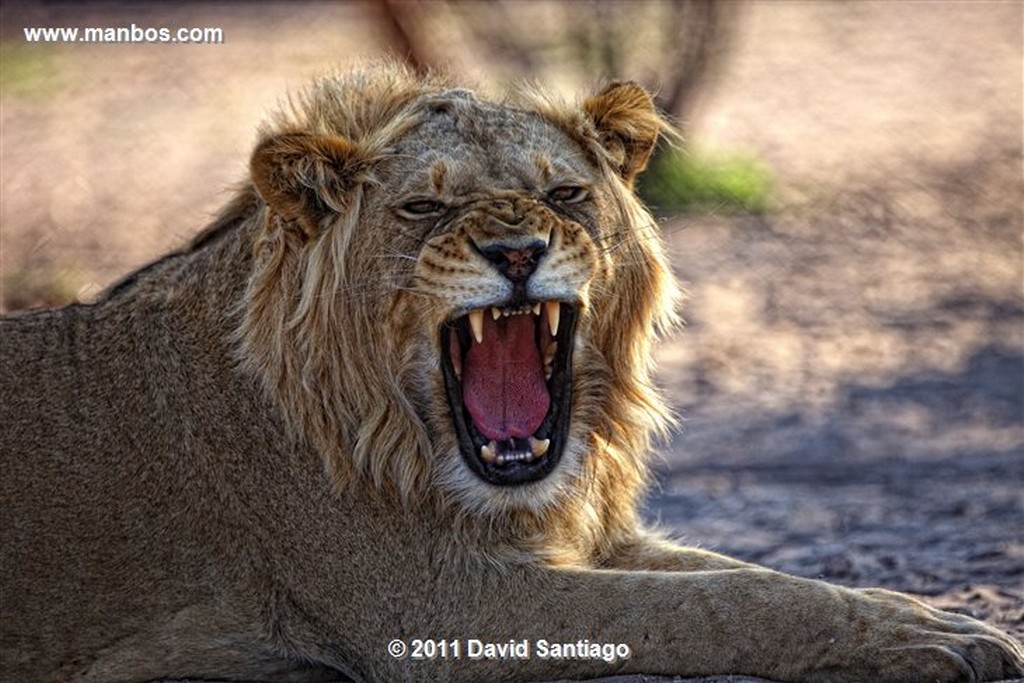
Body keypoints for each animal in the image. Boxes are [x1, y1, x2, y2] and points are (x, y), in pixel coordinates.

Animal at [0, 61, 1019, 679]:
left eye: (564, 192)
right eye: (421, 208)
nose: (519, 250)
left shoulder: (581, 541)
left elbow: (754, 576)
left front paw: (927, 619)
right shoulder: (435, 603)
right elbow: (715, 604)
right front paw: (928, 633)